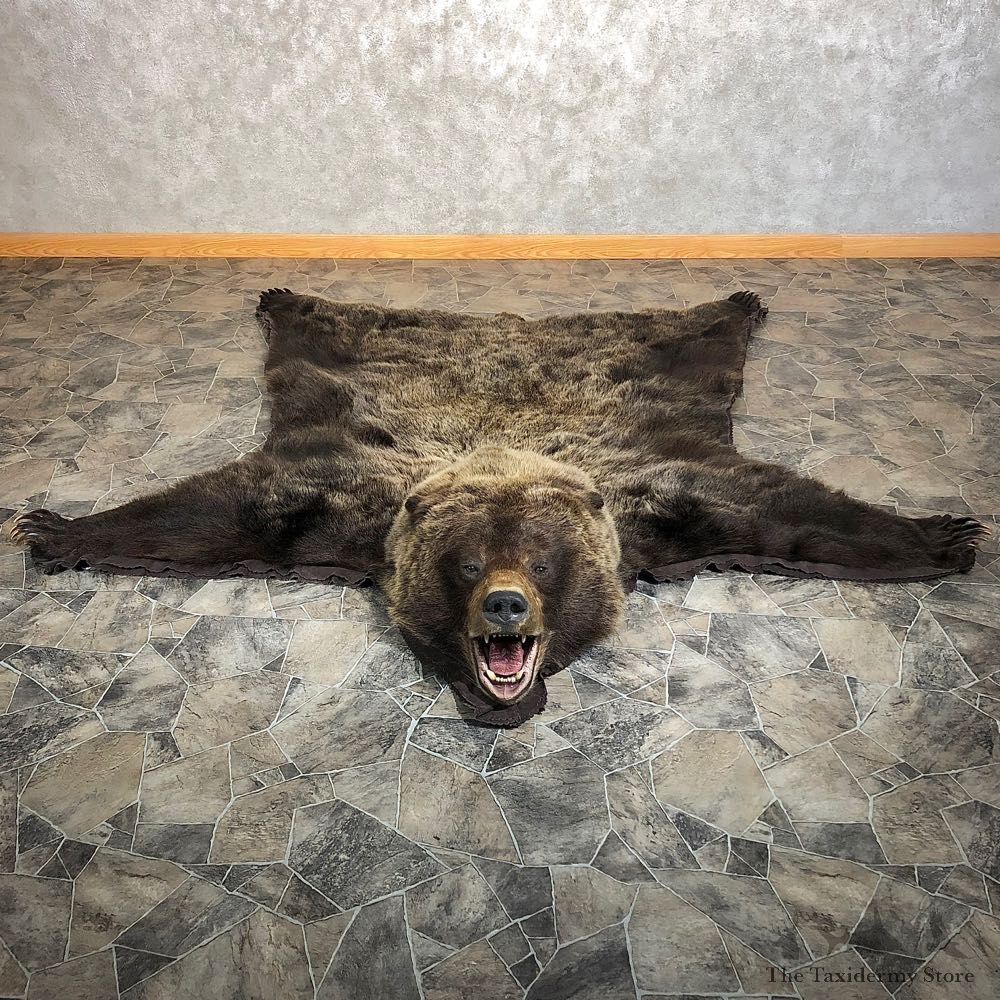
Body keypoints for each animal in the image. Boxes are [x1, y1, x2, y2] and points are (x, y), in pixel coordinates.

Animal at [12, 288, 986, 725]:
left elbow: (795, 512)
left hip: (665, 358)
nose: (507, 606)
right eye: (468, 563)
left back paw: (738, 299)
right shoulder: (337, 498)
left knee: (702, 327)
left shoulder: (669, 496)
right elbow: (213, 512)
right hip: (340, 351)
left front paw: (946, 531)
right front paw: (54, 526)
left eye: (546, 561)